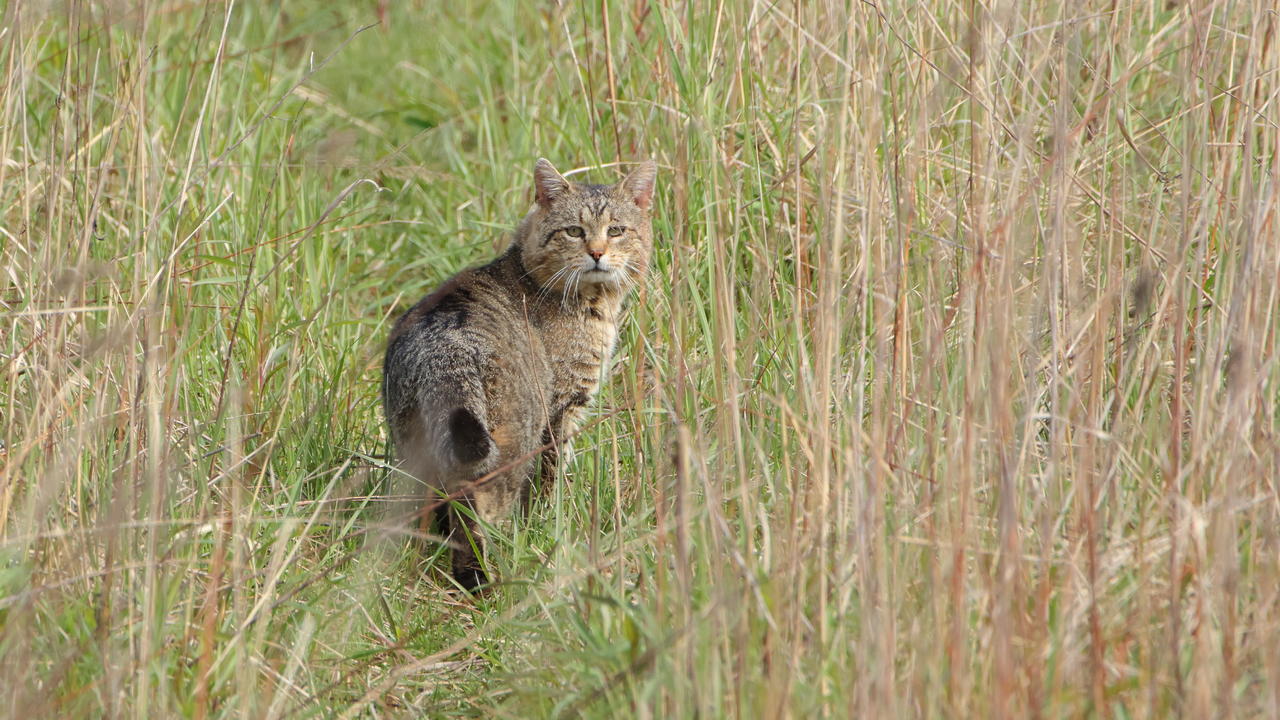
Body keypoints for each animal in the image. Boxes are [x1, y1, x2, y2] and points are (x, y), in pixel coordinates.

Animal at [378, 156, 655, 589]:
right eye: (574, 231)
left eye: (616, 231)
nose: (596, 252)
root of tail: (446, 345)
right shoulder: (562, 409)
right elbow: (550, 480)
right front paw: (547, 526)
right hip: (507, 445)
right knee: (475, 510)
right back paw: (482, 576)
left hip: (416, 448)